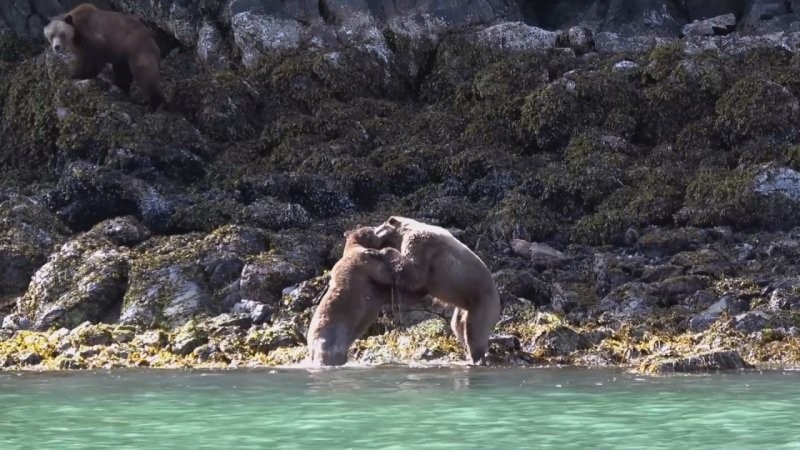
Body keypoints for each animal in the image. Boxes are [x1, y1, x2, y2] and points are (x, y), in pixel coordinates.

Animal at [376, 215, 500, 366]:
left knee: (474, 331)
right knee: (458, 325)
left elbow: (414, 272)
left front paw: (388, 254)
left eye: (378, 228)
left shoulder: (421, 244)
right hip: (464, 306)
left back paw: (474, 358)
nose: (373, 230)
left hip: (481, 303)